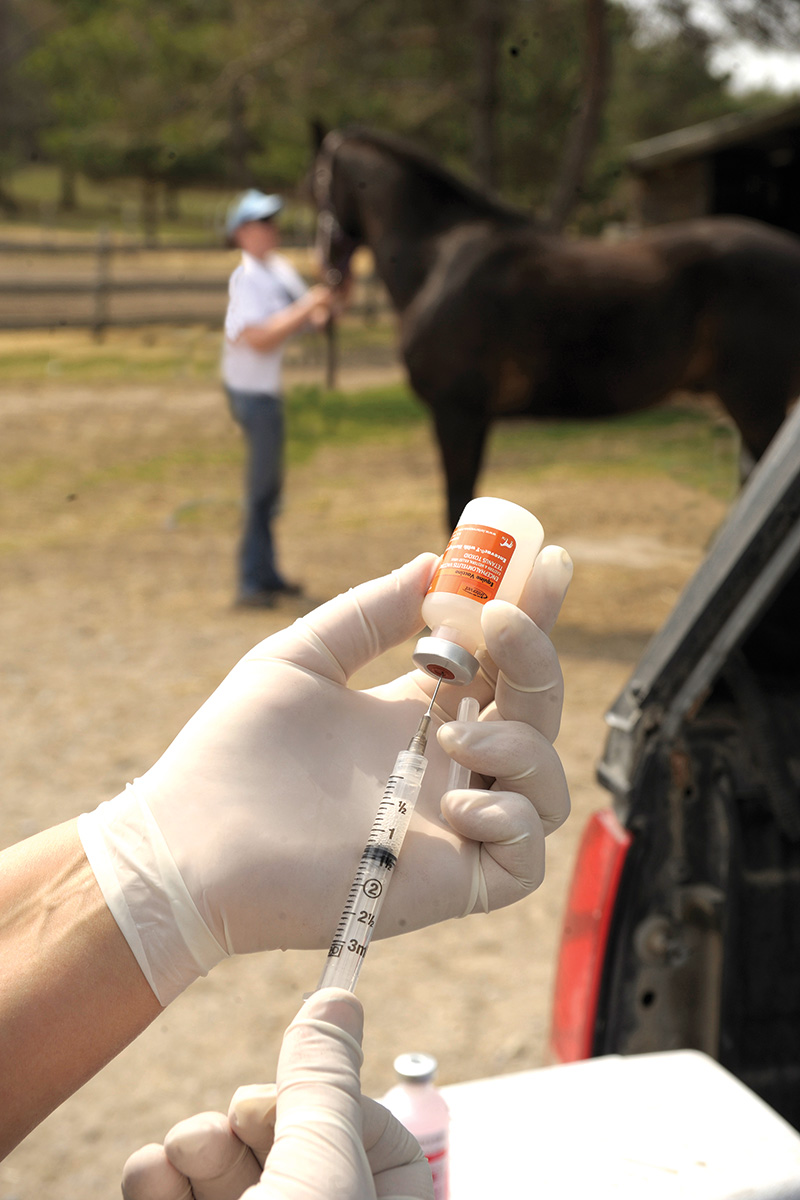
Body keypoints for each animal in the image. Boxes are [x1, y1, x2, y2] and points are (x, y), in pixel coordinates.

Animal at [311, 125, 800, 530]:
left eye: (314, 185)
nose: (327, 267)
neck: (438, 259)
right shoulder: (475, 418)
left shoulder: (456, 413)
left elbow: (456, 509)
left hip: (755, 406)